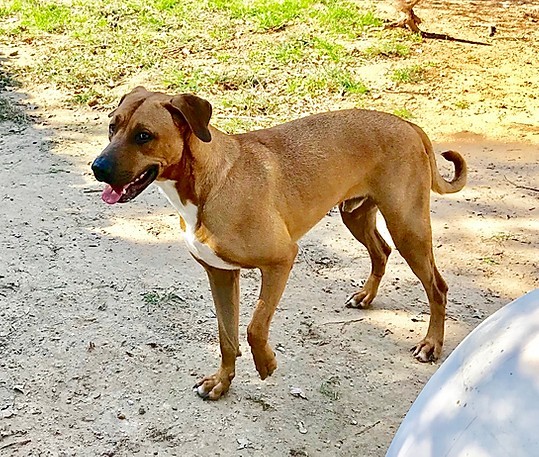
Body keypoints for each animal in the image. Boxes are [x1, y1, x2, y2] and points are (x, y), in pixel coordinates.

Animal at [90, 85, 466, 400]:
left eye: (144, 136)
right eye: (112, 127)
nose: (97, 168)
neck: (209, 185)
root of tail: (408, 124)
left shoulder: (280, 261)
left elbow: (254, 327)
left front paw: (266, 364)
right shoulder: (220, 274)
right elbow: (227, 337)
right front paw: (221, 382)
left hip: (408, 228)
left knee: (437, 286)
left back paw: (431, 344)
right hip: (356, 215)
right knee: (381, 252)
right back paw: (366, 296)